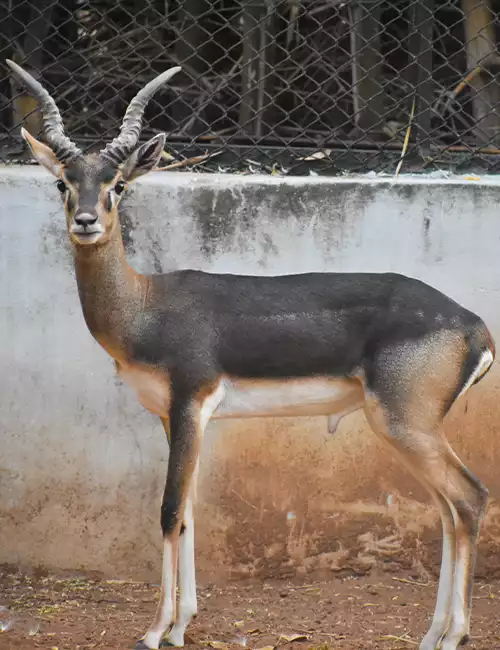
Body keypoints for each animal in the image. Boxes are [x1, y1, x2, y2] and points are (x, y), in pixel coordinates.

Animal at [5, 58, 494, 644]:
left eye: (117, 185)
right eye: (63, 181)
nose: (85, 222)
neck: (145, 306)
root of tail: (475, 328)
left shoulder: (191, 401)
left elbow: (169, 510)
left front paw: (155, 631)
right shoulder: (172, 416)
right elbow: (189, 512)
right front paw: (181, 625)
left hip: (403, 424)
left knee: (468, 499)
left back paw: (455, 634)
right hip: (410, 430)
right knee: (448, 510)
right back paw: (431, 633)